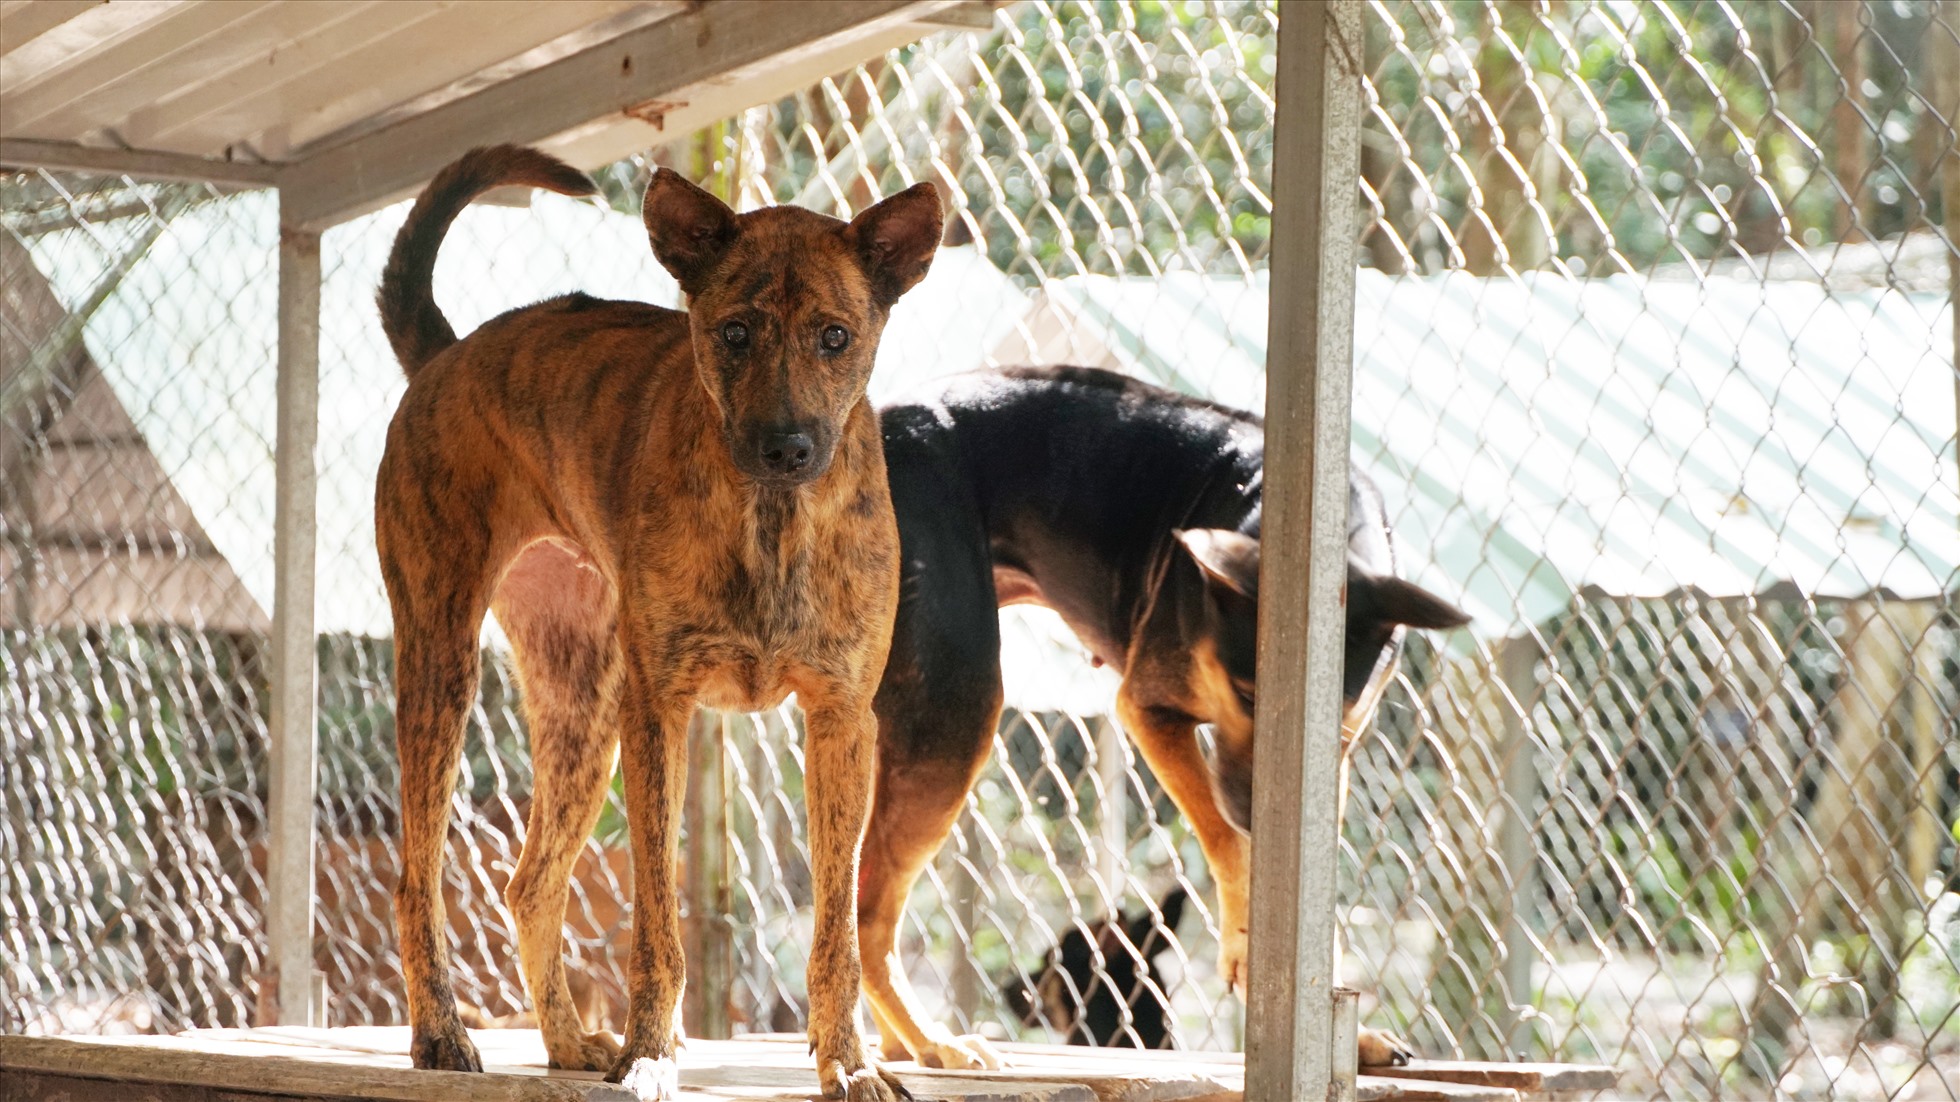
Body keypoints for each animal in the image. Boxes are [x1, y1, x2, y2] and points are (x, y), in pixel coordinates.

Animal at [380, 146, 940, 1098]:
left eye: (835, 336)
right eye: (735, 333)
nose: (787, 446)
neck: (772, 522)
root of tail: (447, 355)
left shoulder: (841, 721)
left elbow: (835, 929)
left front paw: (849, 1063)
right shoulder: (660, 714)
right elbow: (657, 925)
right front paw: (650, 1053)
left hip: (580, 709)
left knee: (530, 885)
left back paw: (566, 1043)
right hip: (443, 666)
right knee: (416, 882)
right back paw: (442, 1037)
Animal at [862, 364, 1473, 1066]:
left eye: (1329, 721)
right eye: (1247, 694)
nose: (1261, 813)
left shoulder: (1337, 761)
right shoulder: (1149, 711)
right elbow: (1225, 837)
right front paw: (1244, 947)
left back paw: (898, 1045)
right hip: (957, 706)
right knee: (869, 912)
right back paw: (932, 1043)